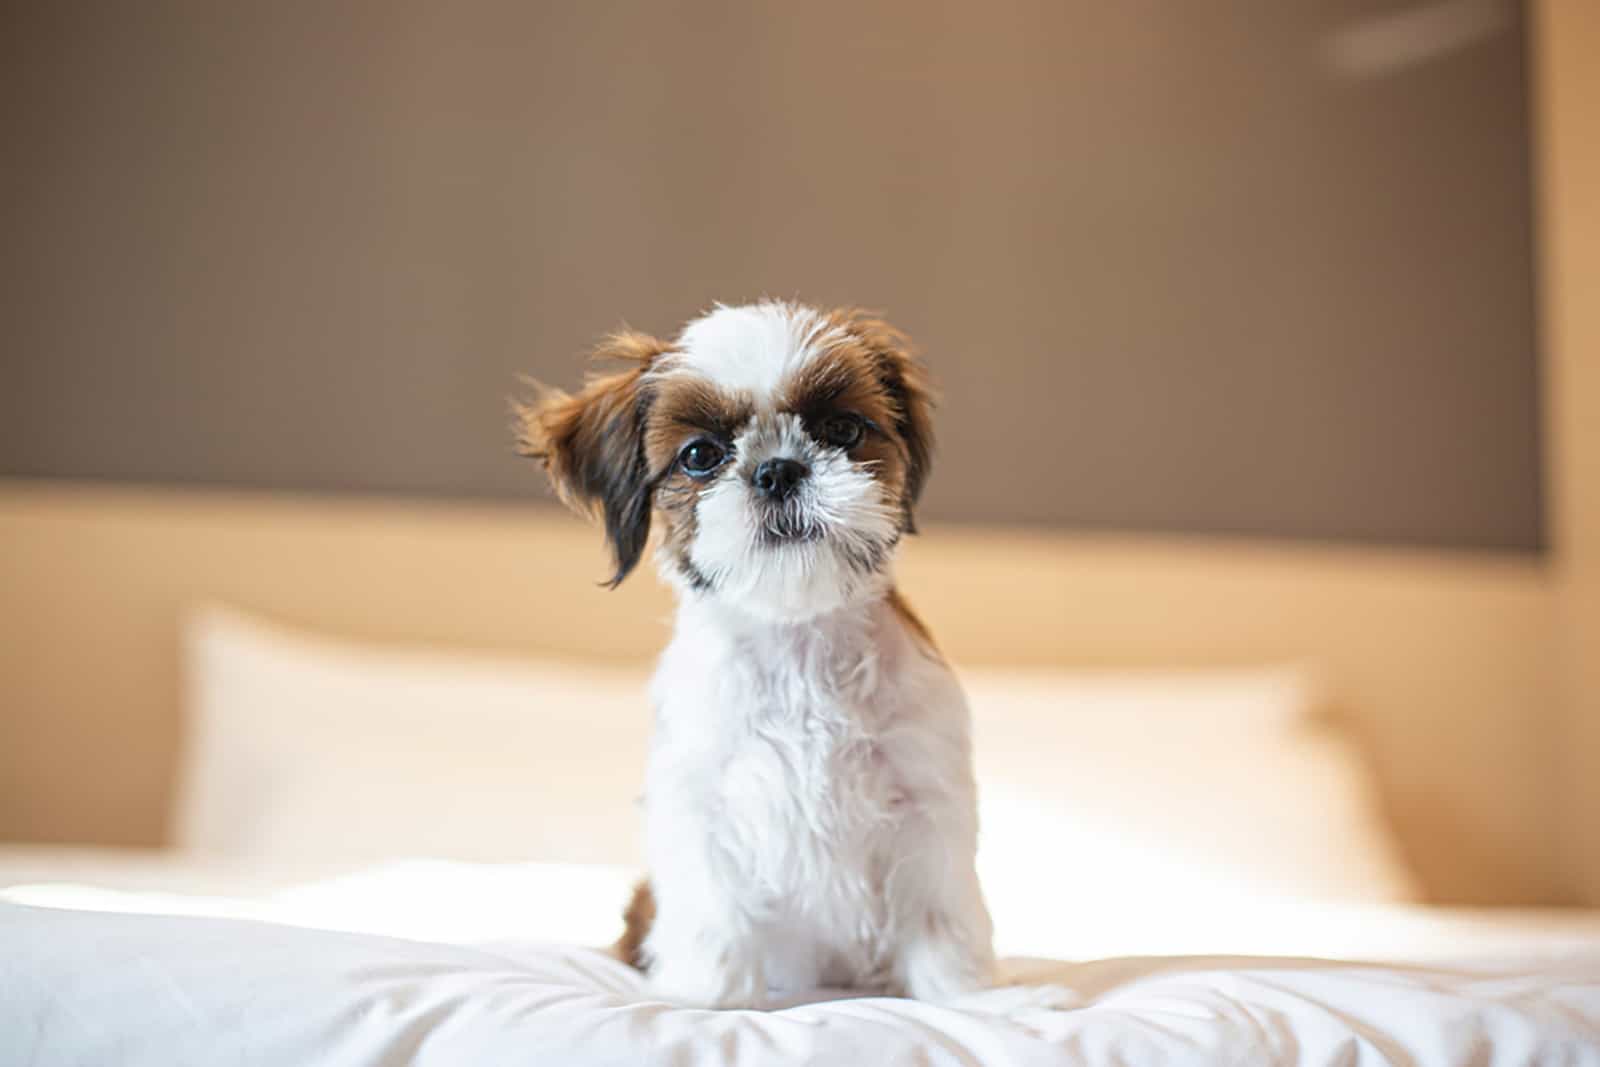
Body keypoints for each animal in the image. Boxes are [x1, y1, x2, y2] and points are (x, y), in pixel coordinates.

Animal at [518, 300, 992, 1011]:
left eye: (842, 429)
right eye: (700, 456)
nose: (778, 470)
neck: (795, 639)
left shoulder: (926, 798)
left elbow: (942, 917)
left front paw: (967, 1001)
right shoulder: (702, 805)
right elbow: (713, 920)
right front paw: (710, 1004)